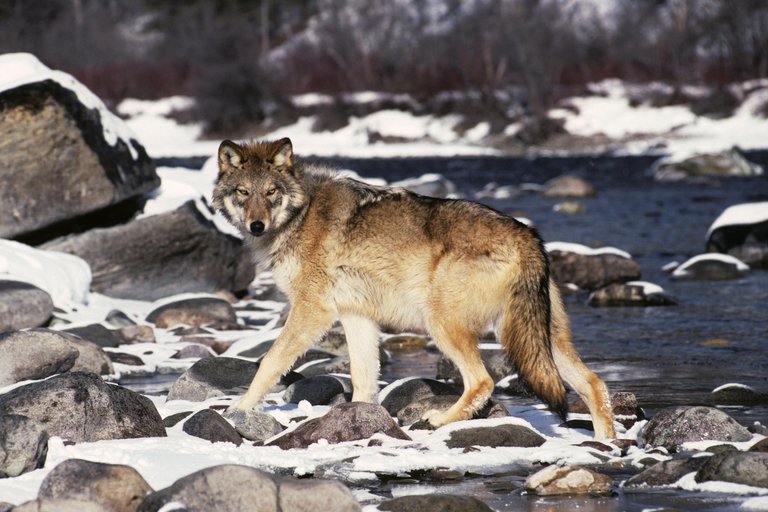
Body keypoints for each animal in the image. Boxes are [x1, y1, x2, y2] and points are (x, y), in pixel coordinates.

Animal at [213, 138, 616, 438]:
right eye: (243, 192)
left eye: (270, 193)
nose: (257, 225)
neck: (301, 214)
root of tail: (528, 236)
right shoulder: (356, 316)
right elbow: (363, 377)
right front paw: (361, 419)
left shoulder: (313, 311)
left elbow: (269, 362)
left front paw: (239, 407)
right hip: (539, 340)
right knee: (594, 383)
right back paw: (605, 445)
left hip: (444, 324)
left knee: (482, 381)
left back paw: (440, 421)